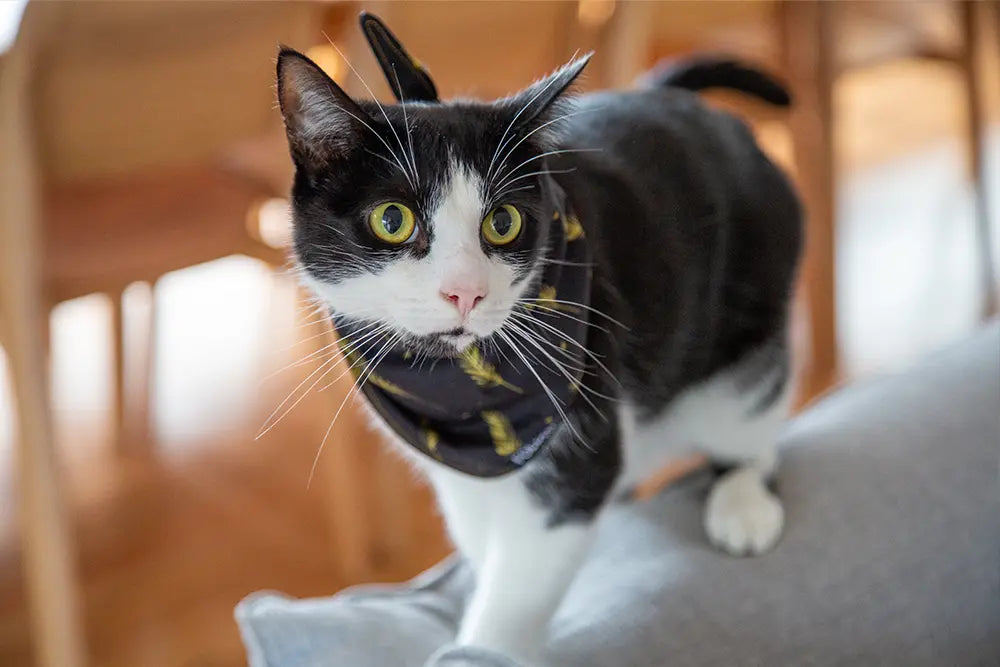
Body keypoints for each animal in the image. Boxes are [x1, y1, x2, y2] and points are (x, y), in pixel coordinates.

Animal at [276, 39, 804, 664]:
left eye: (502, 222)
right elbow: (483, 533)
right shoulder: (456, 467)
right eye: (391, 219)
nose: (465, 291)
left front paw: (483, 645)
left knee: (749, 418)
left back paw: (742, 503)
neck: (459, 389)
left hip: (747, 325)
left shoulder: (582, 430)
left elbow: (523, 578)